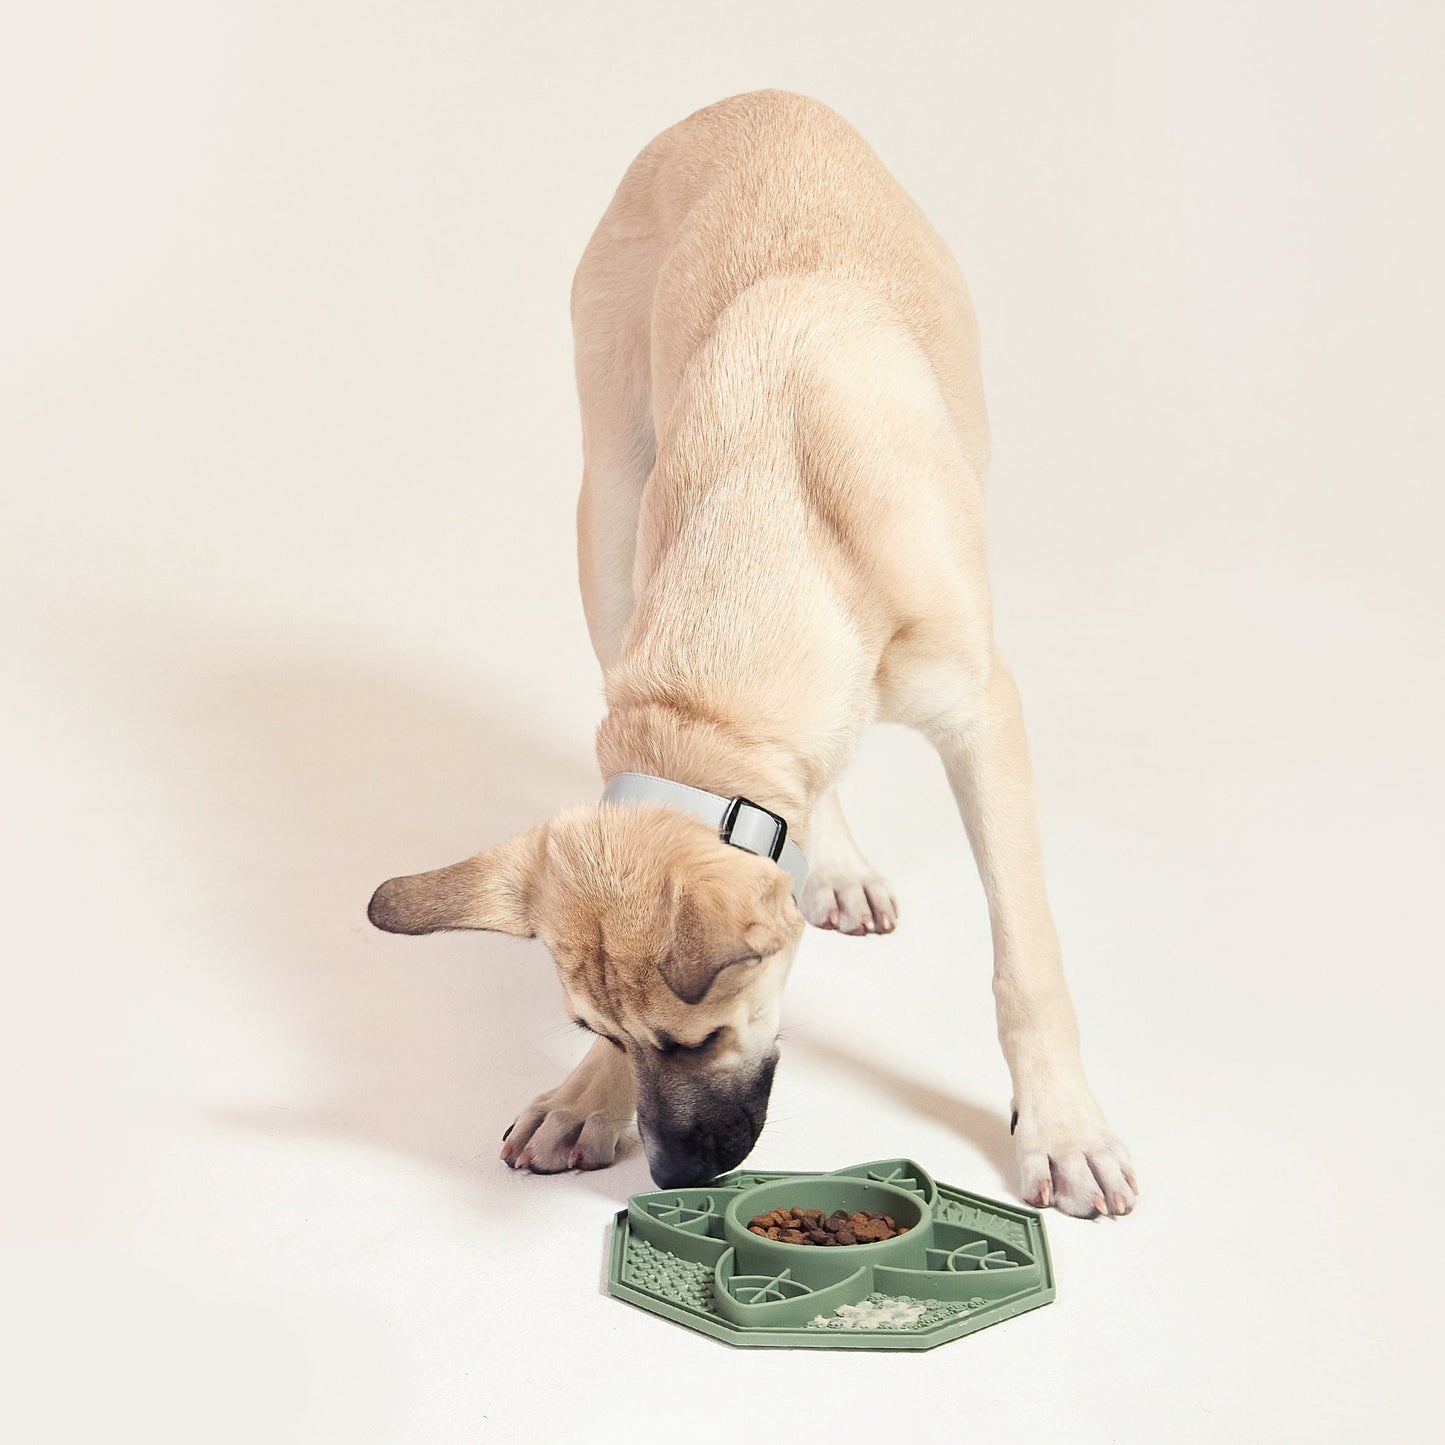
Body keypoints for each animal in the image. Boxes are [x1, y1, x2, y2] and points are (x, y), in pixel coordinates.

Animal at [367, 90, 1132, 1213]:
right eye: (598, 1031)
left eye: (701, 1036)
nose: (674, 1176)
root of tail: (746, 100)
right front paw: (584, 1097)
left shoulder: (983, 715)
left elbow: (1024, 958)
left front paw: (1063, 1127)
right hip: (606, 522)